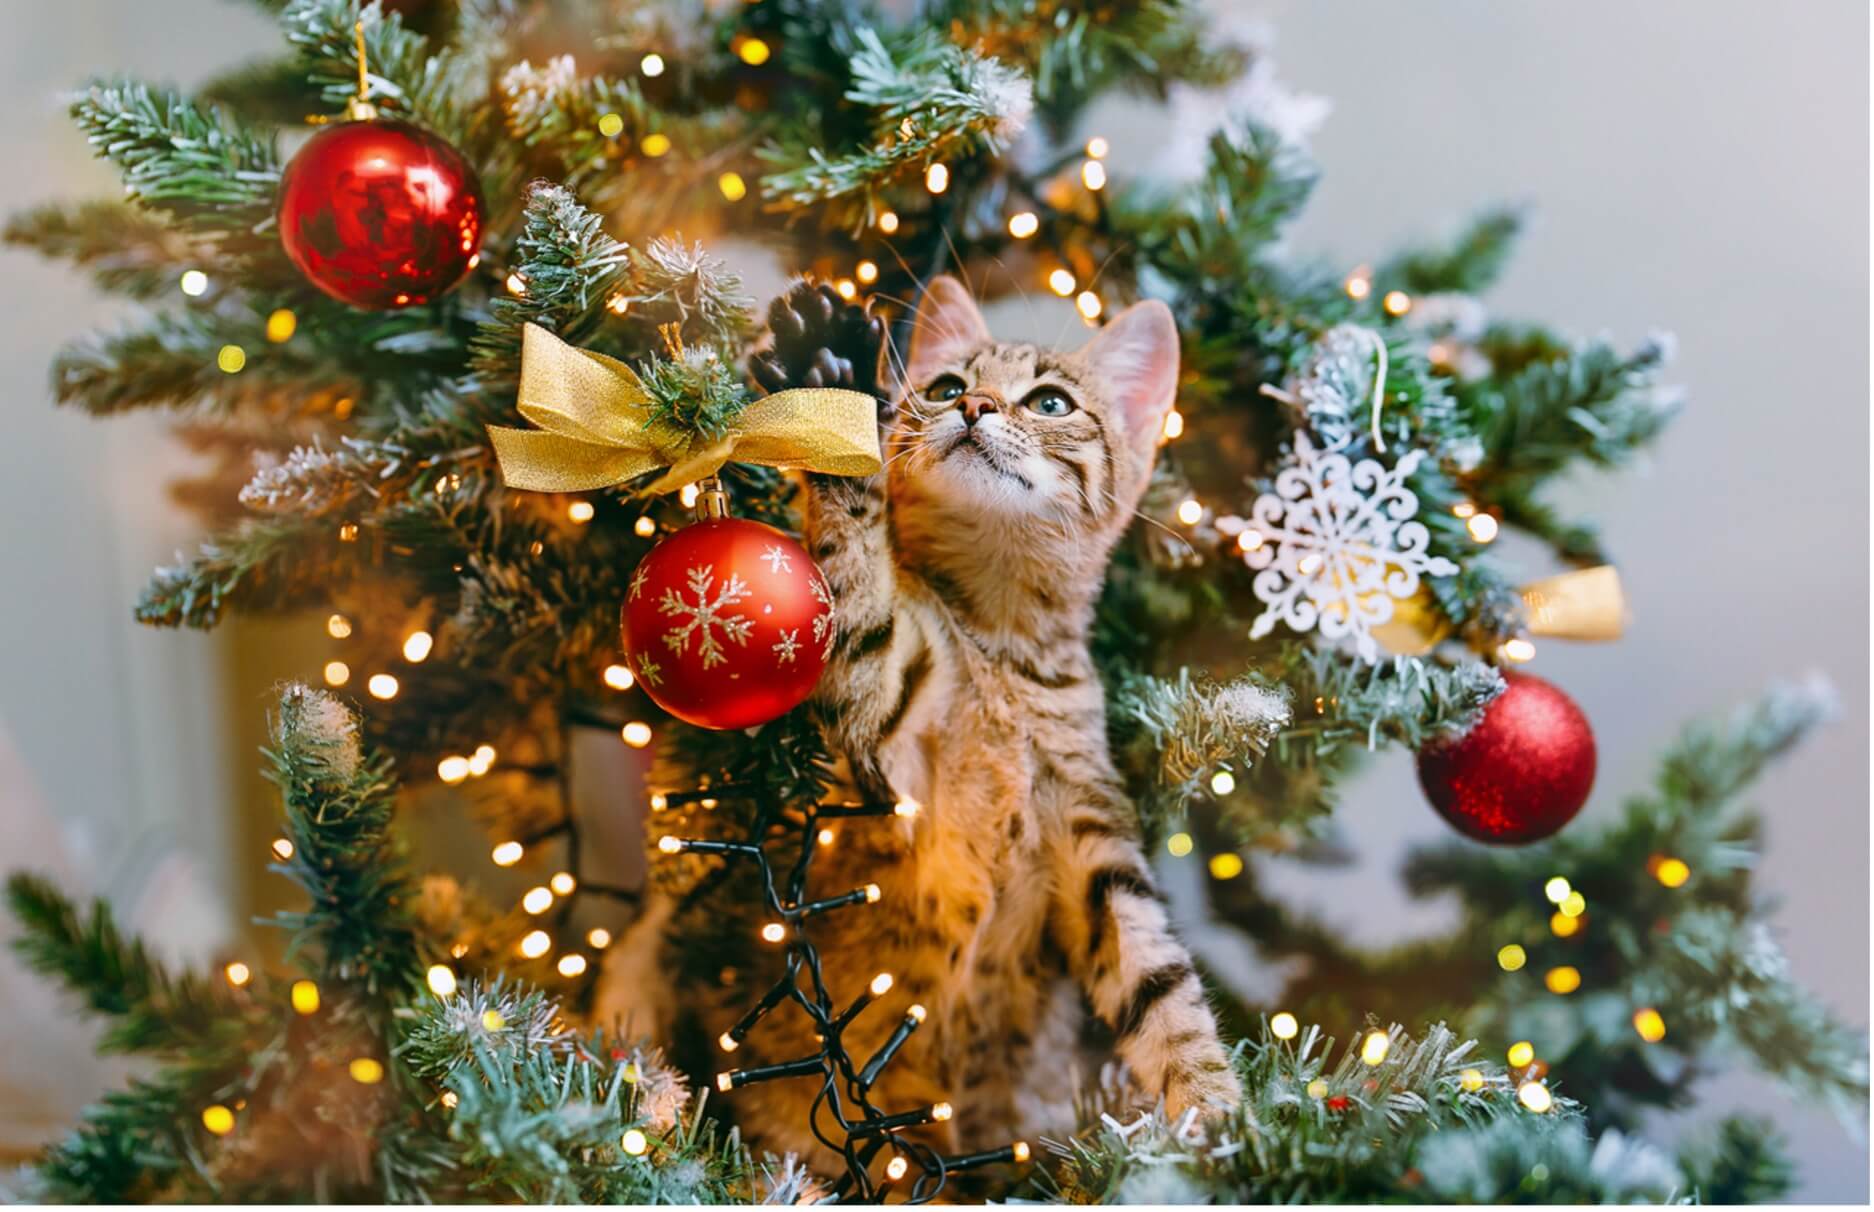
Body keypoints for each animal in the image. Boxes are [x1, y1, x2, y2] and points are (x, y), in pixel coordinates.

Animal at [599, 277, 1236, 1168]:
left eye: (1050, 401)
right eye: (942, 386)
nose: (972, 405)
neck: (998, 645)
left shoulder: (1096, 841)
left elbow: (1162, 984)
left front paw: (1220, 1115)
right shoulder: (888, 721)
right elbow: (857, 590)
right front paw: (830, 385)